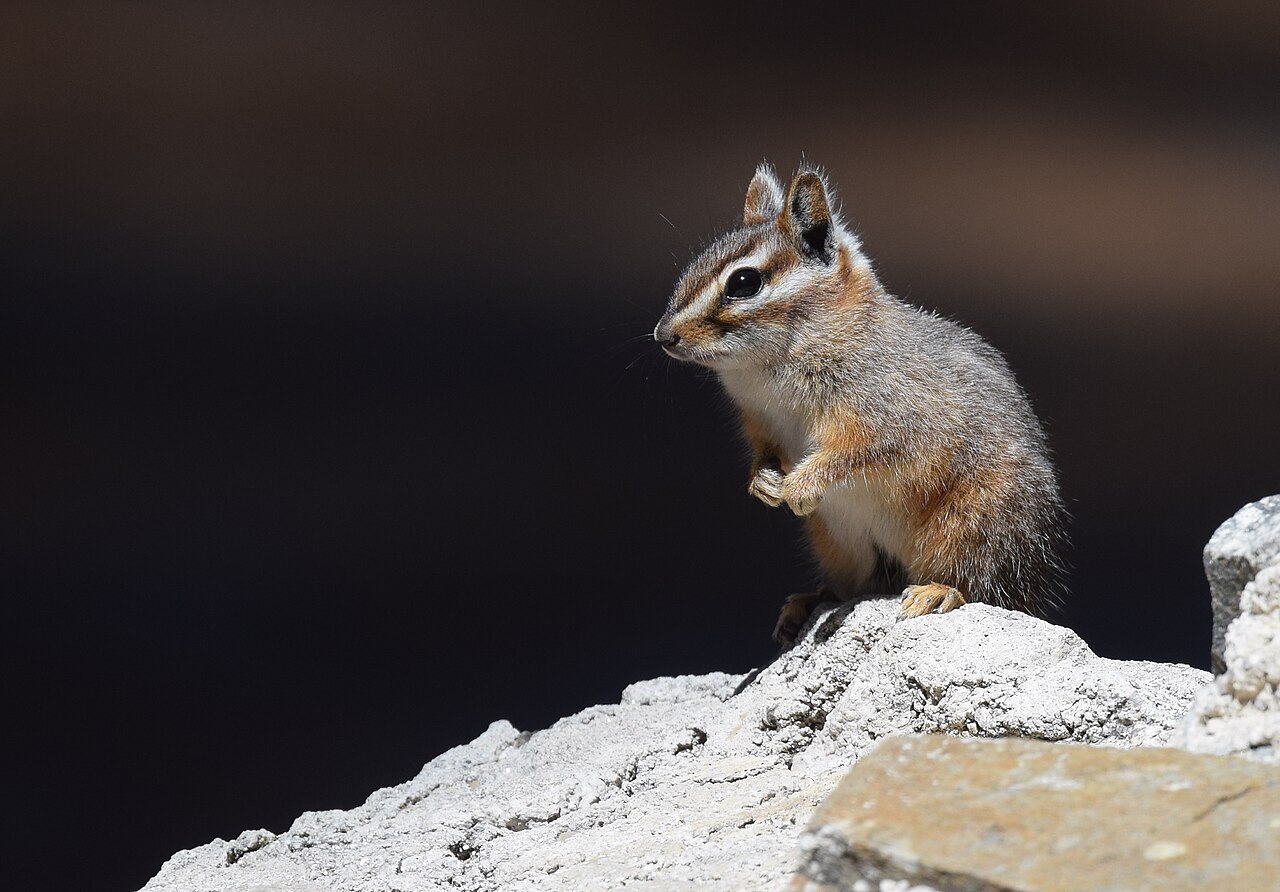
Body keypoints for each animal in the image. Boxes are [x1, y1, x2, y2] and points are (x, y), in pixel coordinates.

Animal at [654, 163, 1066, 645]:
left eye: (744, 282)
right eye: (694, 264)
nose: (663, 335)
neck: (766, 369)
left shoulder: (887, 416)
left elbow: (854, 452)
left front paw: (799, 486)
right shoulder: (759, 423)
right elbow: (764, 454)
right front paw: (764, 484)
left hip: (975, 522)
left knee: (985, 586)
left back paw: (939, 592)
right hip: (839, 541)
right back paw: (811, 600)